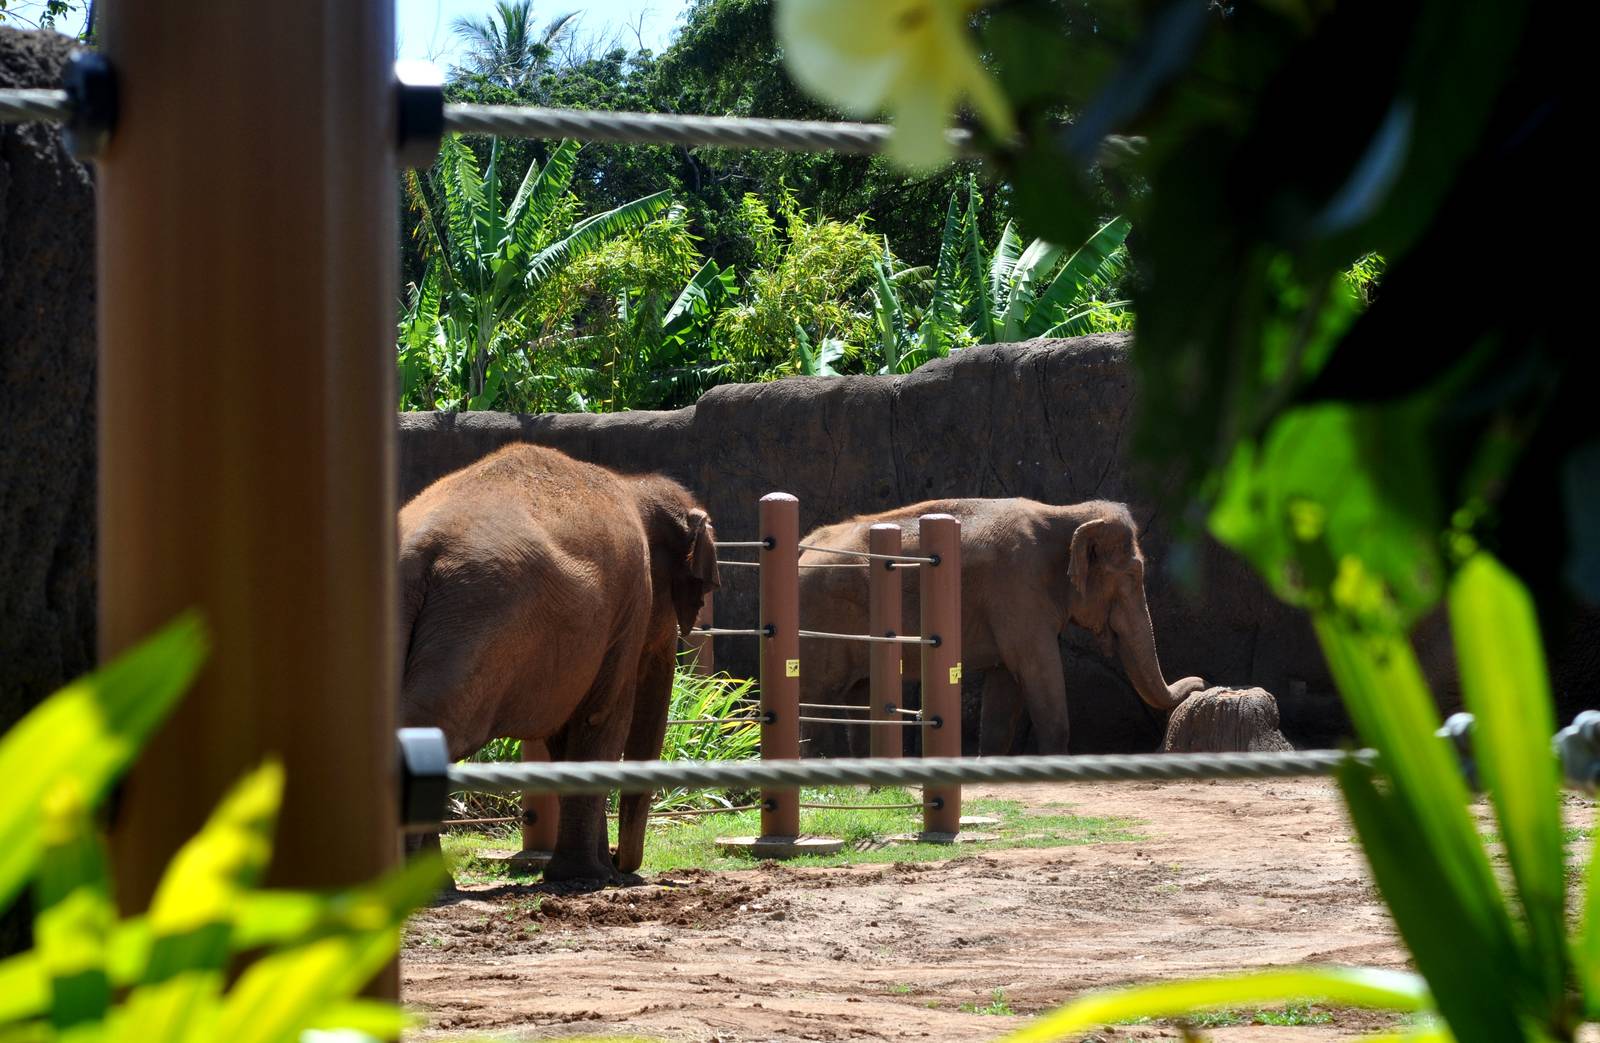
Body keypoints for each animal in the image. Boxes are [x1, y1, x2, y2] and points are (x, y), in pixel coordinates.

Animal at [398, 444, 719, 882]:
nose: (619, 862)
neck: (632, 484)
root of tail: (417, 551)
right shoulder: (629, 603)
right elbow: (600, 720)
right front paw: (588, 878)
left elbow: (564, 736)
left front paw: (588, 872)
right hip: (475, 615)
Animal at [797, 498, 1203, 756]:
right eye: (1133, 574)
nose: (1201, 682)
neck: (1064, 514)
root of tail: (803, 547)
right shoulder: (1018, 590)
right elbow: (1038, 669)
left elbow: (1004, 685)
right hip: (821, 620)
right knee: (814, 697)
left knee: (860, 696)